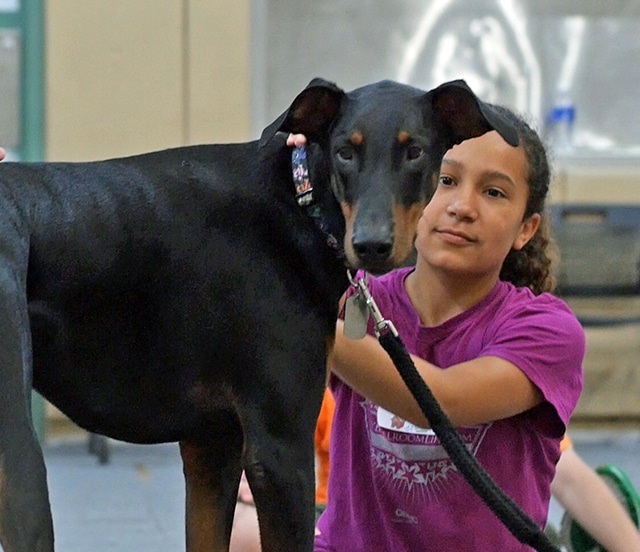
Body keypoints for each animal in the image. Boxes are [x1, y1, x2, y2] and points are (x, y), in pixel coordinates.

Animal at [0, 78, 516, 552]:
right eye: (345, 152)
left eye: (415, 152)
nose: (371, 244)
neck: (301, 204)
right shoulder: (281, 453)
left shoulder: (212, 447)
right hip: (20, 461)